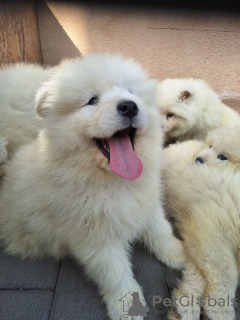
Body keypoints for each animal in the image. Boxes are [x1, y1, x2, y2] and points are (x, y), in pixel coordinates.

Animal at [0, 53, 186, 320]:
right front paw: (127, 307)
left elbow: (160, 231)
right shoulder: (95, 236)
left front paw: (179, 255)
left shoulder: (147, 203)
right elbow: (116, 273)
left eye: (132, 92)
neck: (113, 181)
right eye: (92, 101)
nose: (129, 106)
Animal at [163, 126, 240, 318]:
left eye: (223, 156)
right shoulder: (213, 222)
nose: (198, 159)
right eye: (210, 145)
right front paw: (220, 310)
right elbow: (225, 269)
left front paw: (184, 304)